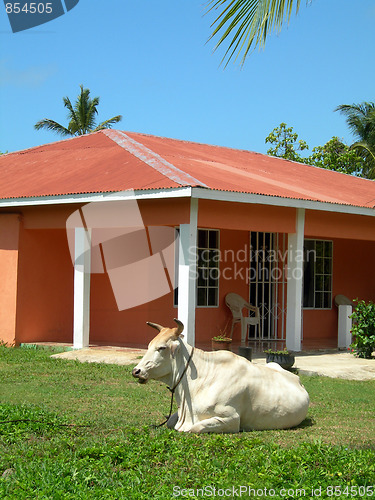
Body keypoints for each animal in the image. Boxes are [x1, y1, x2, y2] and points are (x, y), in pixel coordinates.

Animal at [133, 320, 312, 434]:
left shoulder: (231, 419)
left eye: (162, 348)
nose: (136, 371)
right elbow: (171, 421)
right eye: (149, 345)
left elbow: (195, 428)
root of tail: (297, 379)